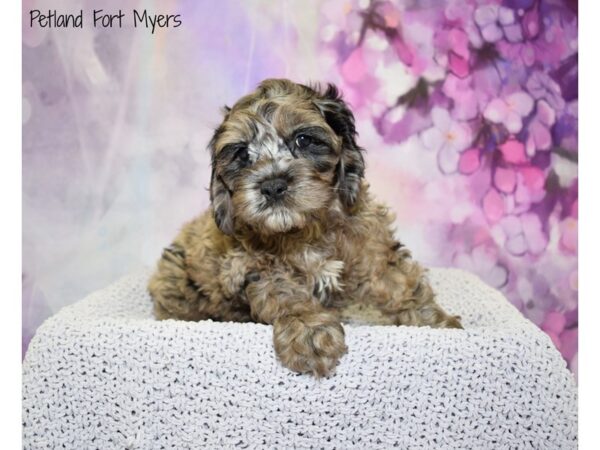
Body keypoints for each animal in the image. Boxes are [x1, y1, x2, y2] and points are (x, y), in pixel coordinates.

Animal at [148, 80, 462, 376]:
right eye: (242, 154)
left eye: (303, 139)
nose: (272, 185)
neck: (305, 229)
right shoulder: (253, 265)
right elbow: (286, 292)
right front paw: (309, 332)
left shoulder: (371, 246)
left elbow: (399, 283)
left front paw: (438, 322)